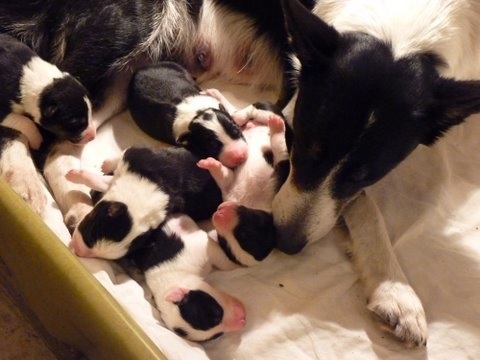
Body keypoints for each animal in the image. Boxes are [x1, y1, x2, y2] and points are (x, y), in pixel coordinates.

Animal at [125, 214, 246, 344]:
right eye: (217, 335)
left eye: (217, 314)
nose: (243, 321)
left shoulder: (202, 246)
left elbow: (224, 262)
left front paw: (239, 266)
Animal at [270, 0, 480, 348]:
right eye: (298, 142)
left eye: (364, 175)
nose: (285, 242)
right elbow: (364, 206)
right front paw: (395, 288)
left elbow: (355, 199)